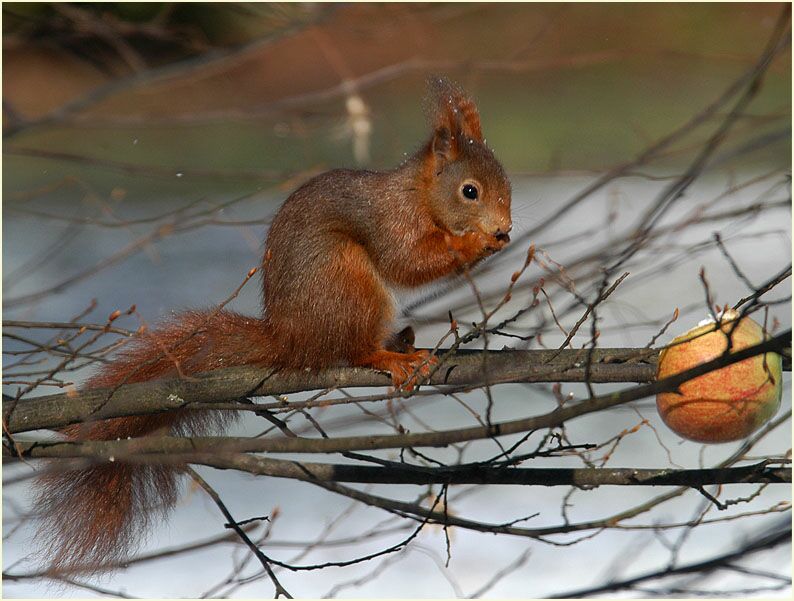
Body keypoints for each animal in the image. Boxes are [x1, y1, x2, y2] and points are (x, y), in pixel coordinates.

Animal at [33, 76, 512, 572]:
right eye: (470, 191)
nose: (504, 225)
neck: (417, 195)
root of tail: (292, 339)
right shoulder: (389, 224)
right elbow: (407, 261)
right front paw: (475, 243)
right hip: (346, 281)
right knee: (353, 348)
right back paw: (388, 356)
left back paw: (402, 341)